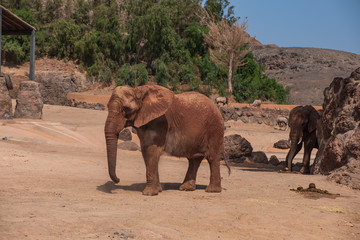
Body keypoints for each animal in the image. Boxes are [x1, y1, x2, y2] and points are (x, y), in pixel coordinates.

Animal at [103, 84, 231, 195]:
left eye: (126, 109)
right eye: (107, 106)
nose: (118, 180)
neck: (138, 90)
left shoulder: (160, 121)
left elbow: (152, 151)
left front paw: (149, 193)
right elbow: (146, 151)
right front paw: (158, 190)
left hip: (215, 128)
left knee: (212, 156)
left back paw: (212, 190)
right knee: (194, 159)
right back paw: (186, 188)